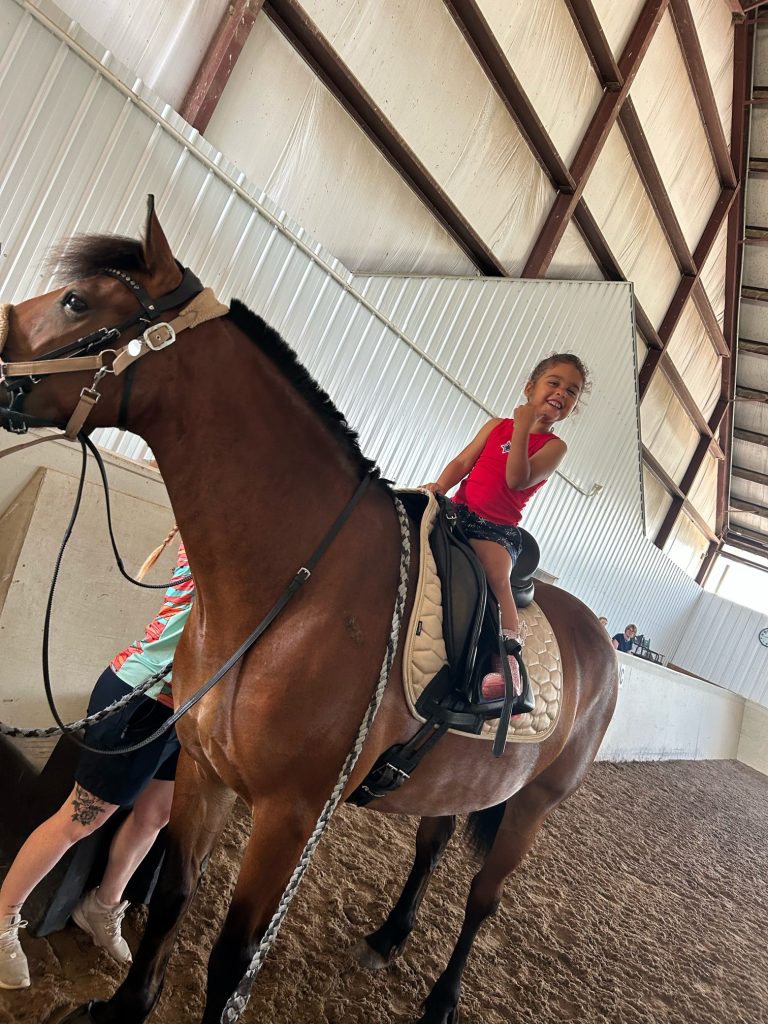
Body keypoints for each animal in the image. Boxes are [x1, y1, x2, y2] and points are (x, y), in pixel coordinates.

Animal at [0, 198, 618, 1024]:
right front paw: (125, 1006)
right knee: (432, 847)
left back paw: (442, 999)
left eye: (75, 301)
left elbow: (232, 957)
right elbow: (170, 898)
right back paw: (389, 935)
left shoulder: (289, 816)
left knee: (482, 903)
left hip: (533, 807)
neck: (291, 592)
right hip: (464, 783)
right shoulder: (203, 773)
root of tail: (599, 639)